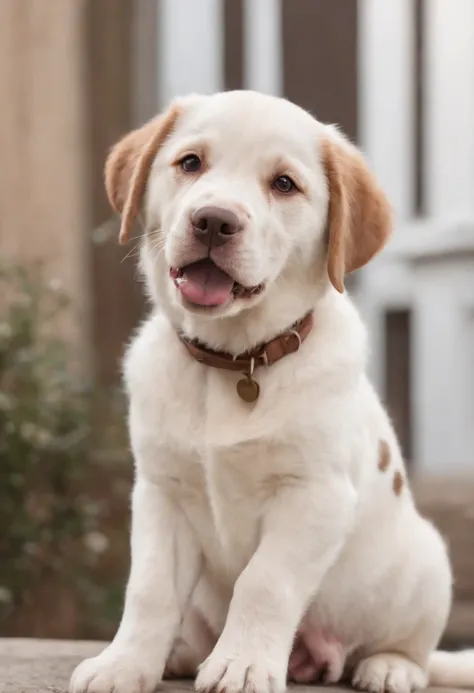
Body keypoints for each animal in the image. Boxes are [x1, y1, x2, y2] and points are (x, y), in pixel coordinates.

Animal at [70, 92, 474, 692]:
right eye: (190, 163)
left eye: (284, 184)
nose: (213, 220)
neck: (235, 361)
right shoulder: (163, 491)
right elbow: (149, 589)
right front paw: (125, 664)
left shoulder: (314, 494)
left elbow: (263, 582)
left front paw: (240, 664)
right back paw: (179, 653)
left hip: (427, 564)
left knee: (416, 650)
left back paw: (389, 667)